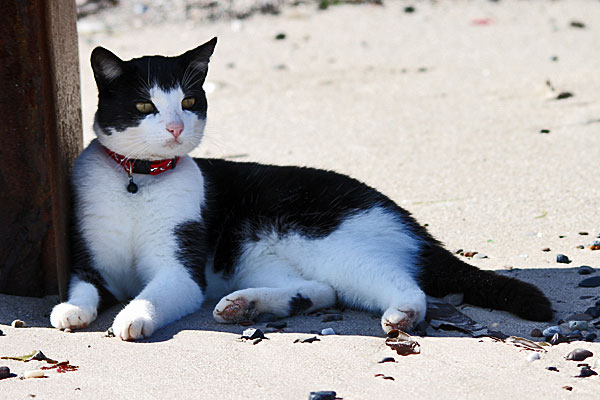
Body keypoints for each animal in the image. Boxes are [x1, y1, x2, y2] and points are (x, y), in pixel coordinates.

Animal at [50, 38, 553, 340]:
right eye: (144, 106)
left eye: (189, 101)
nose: (175, 127)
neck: (138, 180)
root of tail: (404, 216)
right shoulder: (89, 258)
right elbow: (83, 286)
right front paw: (70, 311)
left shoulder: (181, 272)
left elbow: (153, 293)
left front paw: (132, 317)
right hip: (258, 260)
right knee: (322, 290)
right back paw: (249, 306)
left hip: (336, 244)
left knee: (403, 287)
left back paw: (401, 316)